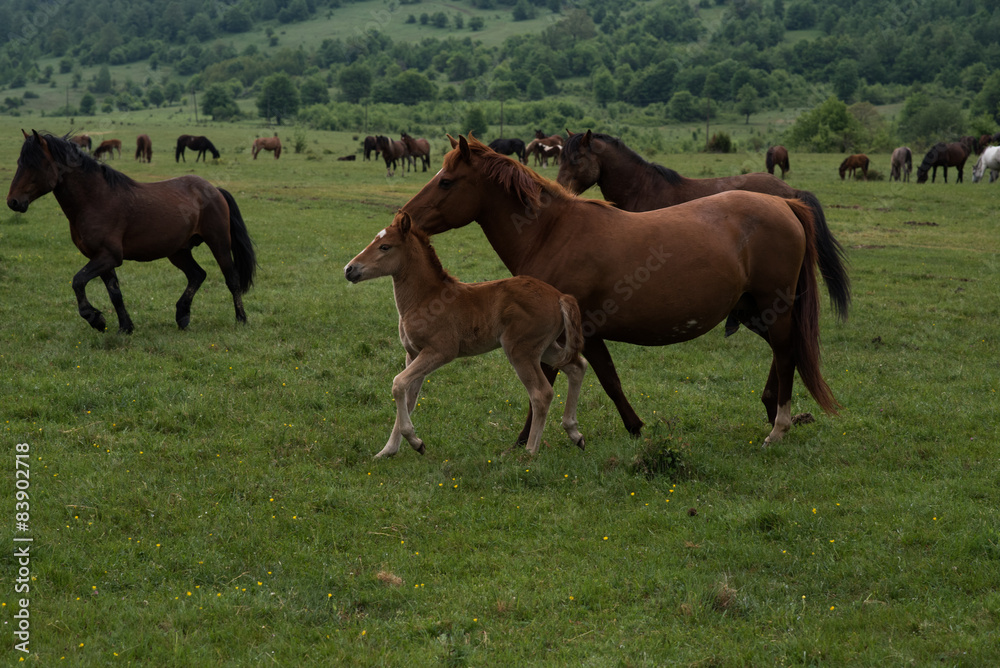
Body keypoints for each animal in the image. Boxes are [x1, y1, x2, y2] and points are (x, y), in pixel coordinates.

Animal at [6, 129, 258, 332]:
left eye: (33, 164)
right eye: (19, 161)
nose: (13, 202)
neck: (95, 200)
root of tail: (214, 189)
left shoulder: (108, 256)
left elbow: (78, 281)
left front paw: (95, 319)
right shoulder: (101, 258)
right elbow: (114, 294)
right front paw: (125, 327)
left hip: (219, 243)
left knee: (232, 279)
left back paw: (241, 319)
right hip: (178, 251)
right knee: (197, 275)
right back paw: (182, 316)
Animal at [348, 211, 588, 456]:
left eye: (385, 246)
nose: (350, 269)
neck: (425, 298)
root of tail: (559, 296)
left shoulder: (441, 351)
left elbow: (398, 384)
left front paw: (414, 442)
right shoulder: (413, 354)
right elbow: (408, 397)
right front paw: (388, 451)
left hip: (521, 350)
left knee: (542, 393)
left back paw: (530, 451)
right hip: (545, 347)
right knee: (577, 367)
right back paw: (574, 433)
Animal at [402, 134, 848, 448]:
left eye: (446, 181)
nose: (405, 218)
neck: (551, 232)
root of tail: (787, 204)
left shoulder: (554, 334)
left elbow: (546, 383)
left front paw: (525, 440)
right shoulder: (586, 333)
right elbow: (608, 379)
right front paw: (633, 427)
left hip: (774, 306)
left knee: (786, 353)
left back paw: (779, 426)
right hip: (755, 310)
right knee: (786, 351)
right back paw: (773, 409)